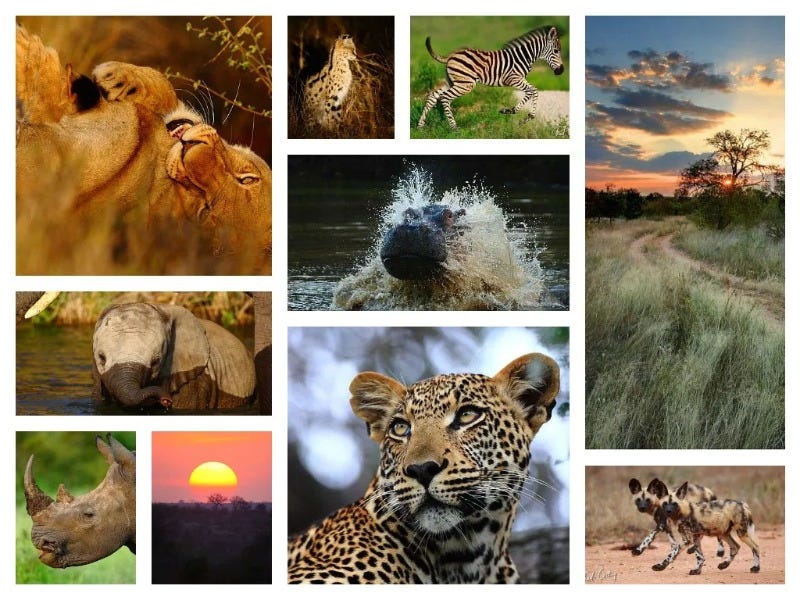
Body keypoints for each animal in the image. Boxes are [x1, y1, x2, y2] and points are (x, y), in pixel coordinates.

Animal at [16, 26, 271, 273]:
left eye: (206, 211)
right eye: (247, 179)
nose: (188, 149)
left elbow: (45, 81)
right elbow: (163, 84)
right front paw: (115, 77)